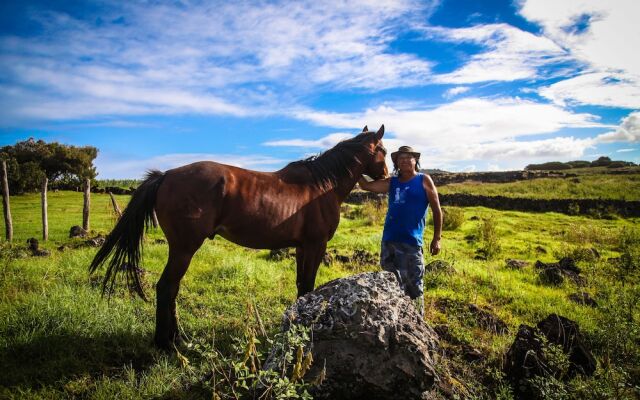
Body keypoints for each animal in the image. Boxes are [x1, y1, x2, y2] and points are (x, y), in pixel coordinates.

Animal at [89, 126, 390, 348]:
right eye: (384, 150)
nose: (387, 175)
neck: (321, 186)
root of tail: (166, 175)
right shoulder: (316, 245)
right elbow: (308, 285)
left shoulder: (303, 247)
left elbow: (301, 287)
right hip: (184, 248)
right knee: (166, 288)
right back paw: (169, 343)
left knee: (170, 289)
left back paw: (176, 337)